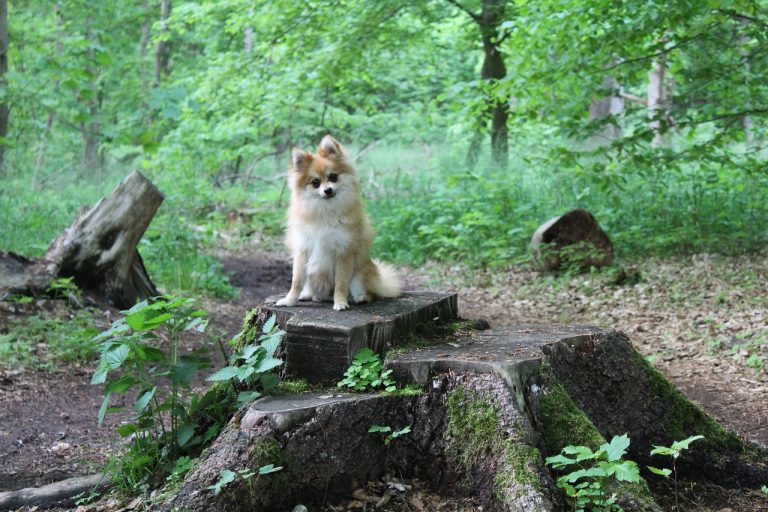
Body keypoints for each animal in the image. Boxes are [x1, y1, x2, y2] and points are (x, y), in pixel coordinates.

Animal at [274, 135, 400, 312]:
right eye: (315, 182)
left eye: (333, 176)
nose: (328, 190)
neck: (325, 210)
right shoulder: (303, 250)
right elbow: (296, 280)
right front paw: (289, 299)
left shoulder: (343, 252)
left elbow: (341, 283)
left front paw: (340, 302)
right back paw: (308, 294)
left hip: (359, 275)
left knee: (367, 292)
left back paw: (360, 298)